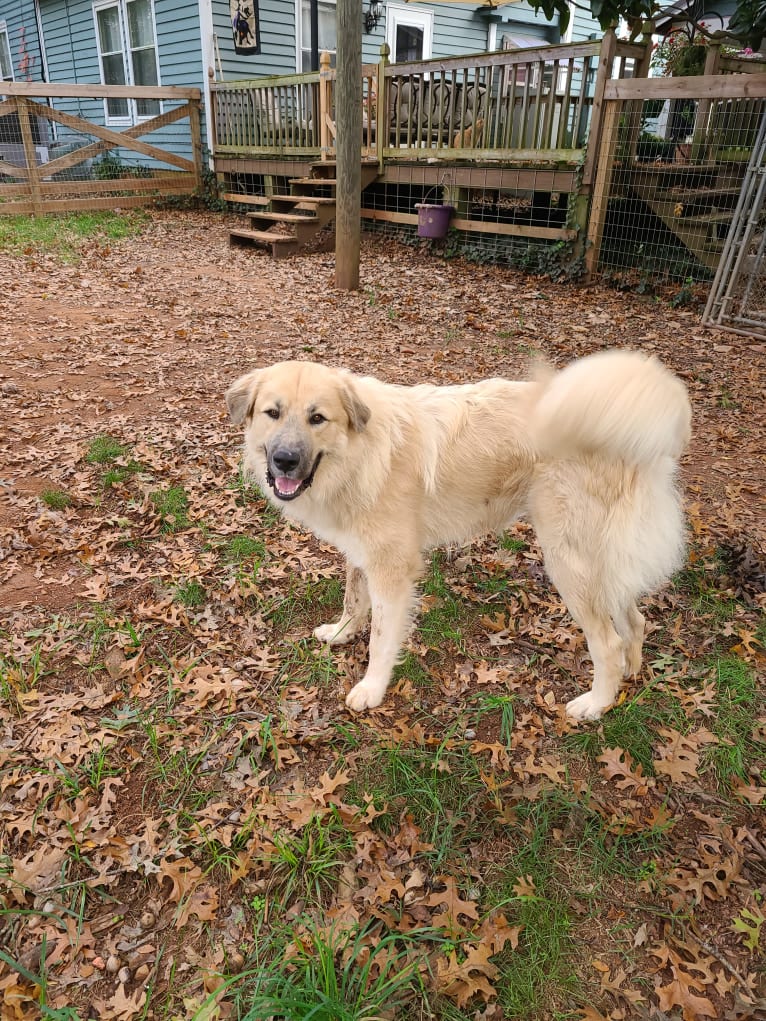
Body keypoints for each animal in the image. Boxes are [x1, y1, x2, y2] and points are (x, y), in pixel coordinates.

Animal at [224, 351, 694, 718]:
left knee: (607, 643)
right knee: (635, 619)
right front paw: (341, 633)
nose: (285, 460)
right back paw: (629, 676)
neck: (363, 453)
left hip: (568, 563)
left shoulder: (392, 572)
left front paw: (372, 689)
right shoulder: (362, 555)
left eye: (317, 418)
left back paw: (596, 704)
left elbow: (381, 639)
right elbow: (353, 601)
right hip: (600, 563)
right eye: (272, 413)